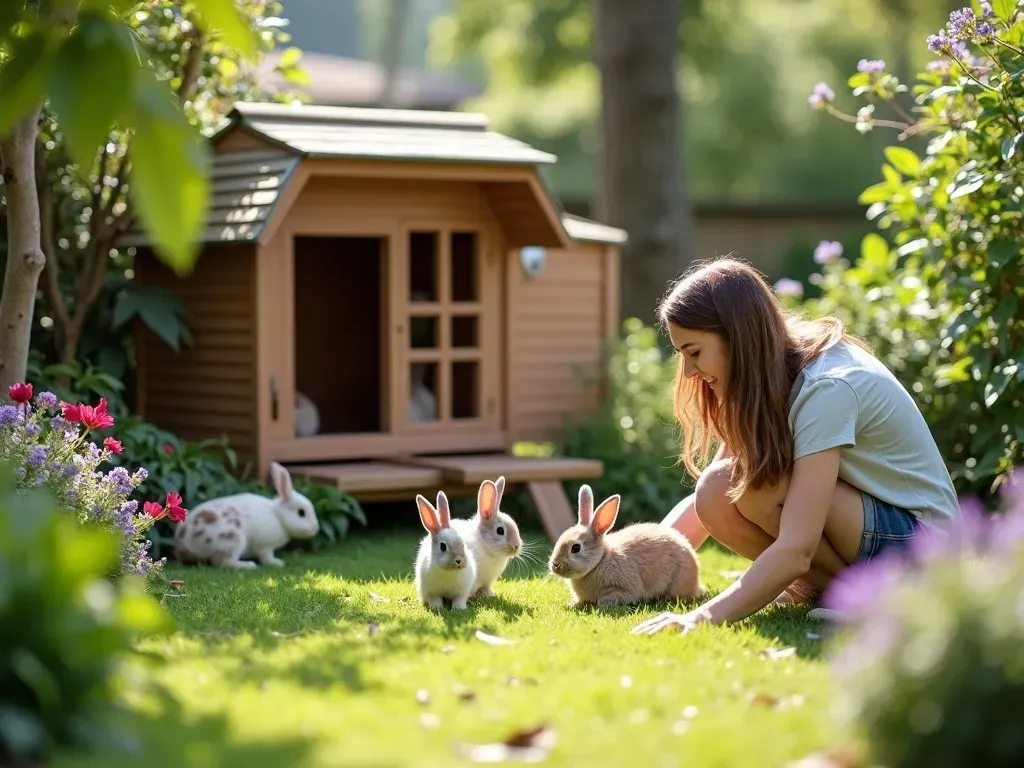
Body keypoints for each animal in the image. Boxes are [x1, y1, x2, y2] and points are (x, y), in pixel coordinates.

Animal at [173, 460, 319, 569]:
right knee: (223, 562)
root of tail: (183, 545)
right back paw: (248, 565)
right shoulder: (265, 546)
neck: (278, 516)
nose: (315, 528)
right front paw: (277, 563)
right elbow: (266, 557)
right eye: (301, 513)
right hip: (233, 540)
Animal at [548, 487, 708, 606]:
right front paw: (572, 603)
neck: (600, 560)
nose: (555, 564)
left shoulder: (624, 588)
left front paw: (603, 604)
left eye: (575, 548)